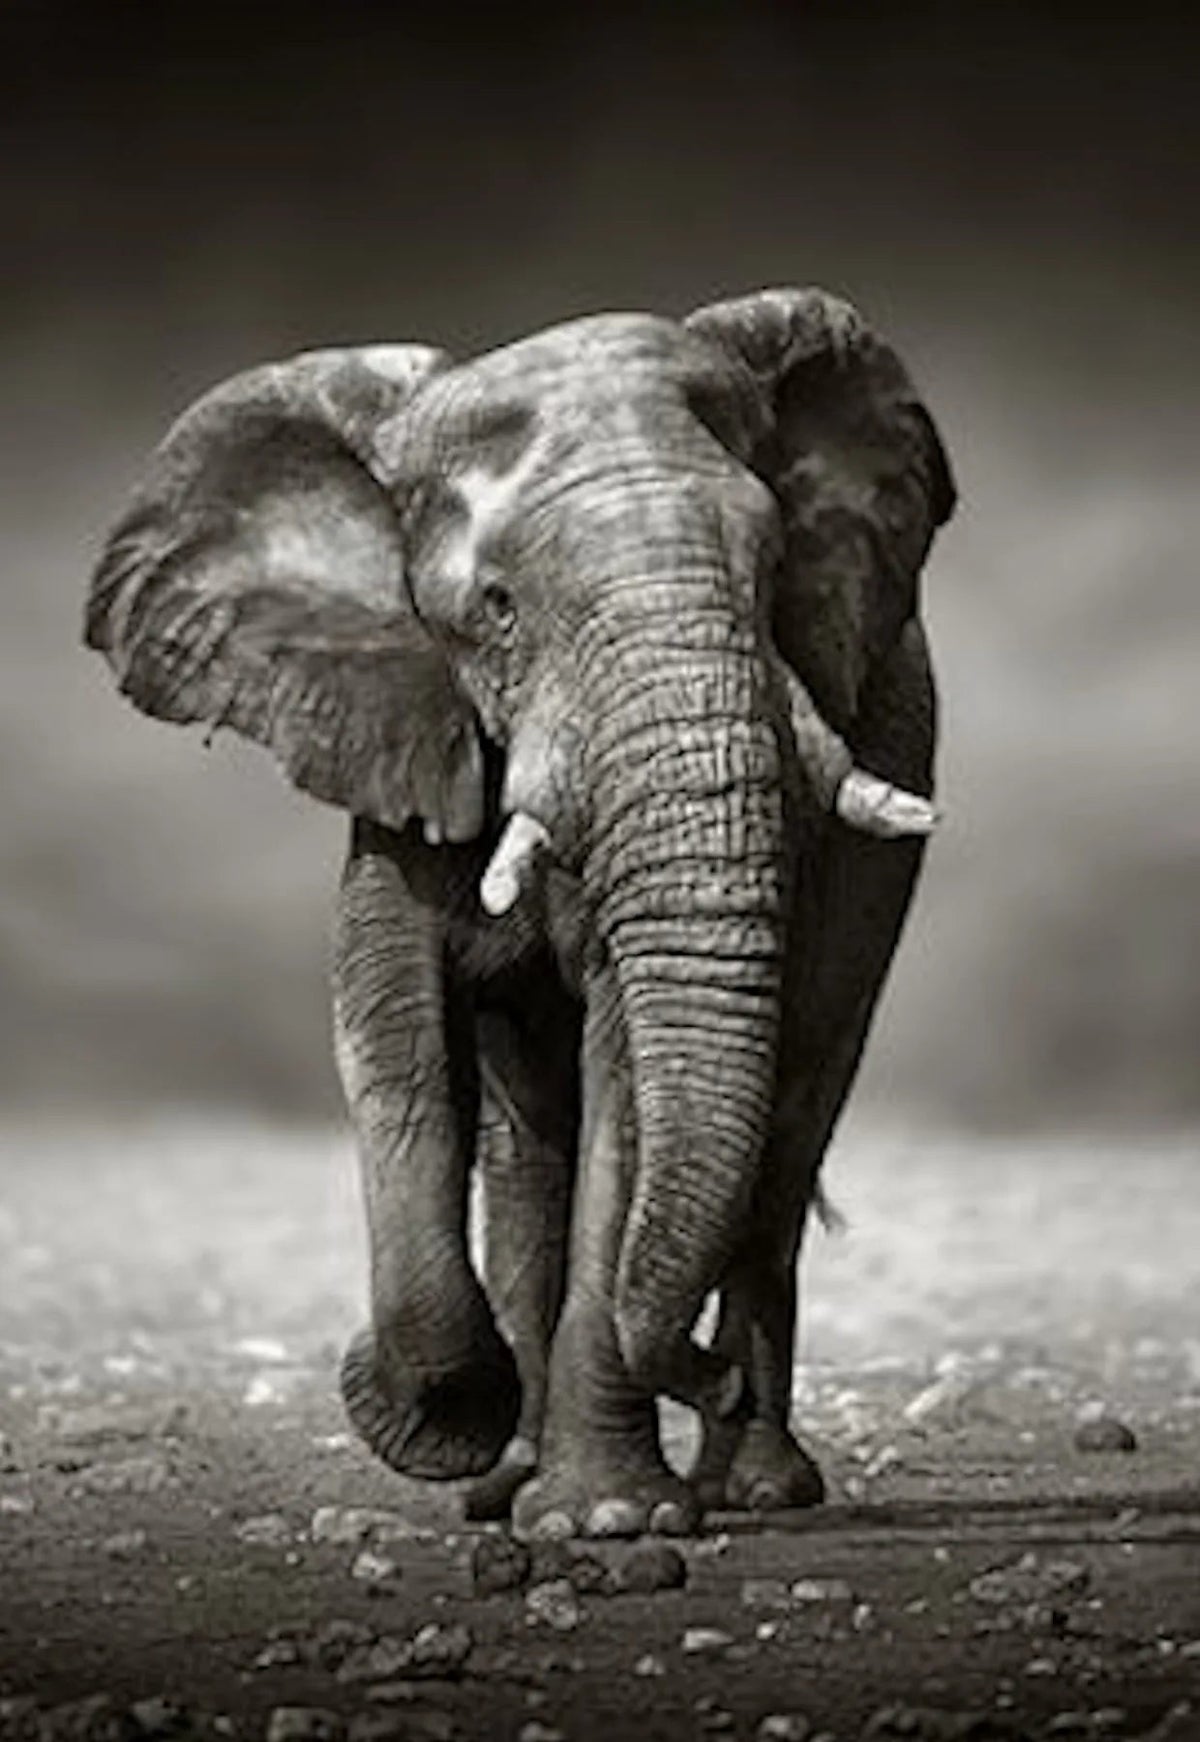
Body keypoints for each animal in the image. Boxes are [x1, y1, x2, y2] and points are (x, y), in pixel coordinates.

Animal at [85, 287, 955, 1538]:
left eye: (772, 572)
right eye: (495, 610)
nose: (705, 1372)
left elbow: (627, 1078)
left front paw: (608, 1519)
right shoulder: (398, 731)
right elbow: (393, 1037)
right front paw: (441, 1416)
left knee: (789, 1119)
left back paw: (753, 1484)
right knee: (530, 1141)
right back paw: (515, 1477)